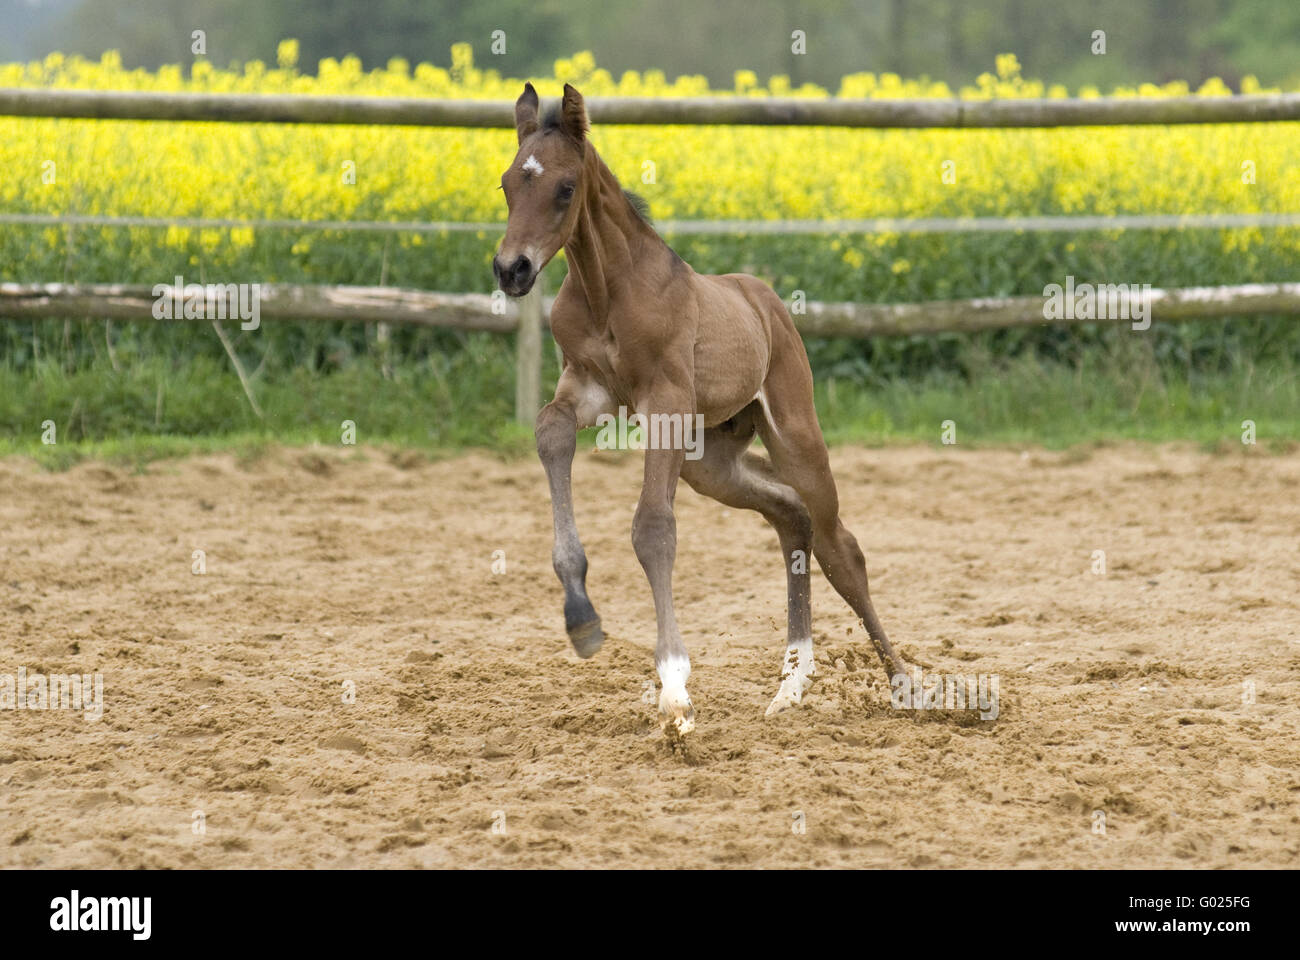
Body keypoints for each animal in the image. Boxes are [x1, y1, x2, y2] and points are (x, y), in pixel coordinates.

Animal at [491, 83, 909, 738]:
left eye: (564, 187)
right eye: (508, 183)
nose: (512, 270)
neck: (609, 288)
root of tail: (766, 299)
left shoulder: (663, 403)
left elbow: (652, 529)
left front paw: (675, 693)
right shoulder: (589, 390)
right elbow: (550, 432)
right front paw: (581, 617)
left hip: (792, 433)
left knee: (841, 544)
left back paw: (905, 684)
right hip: (709, 459)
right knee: (792, 516)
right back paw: (790, 686)